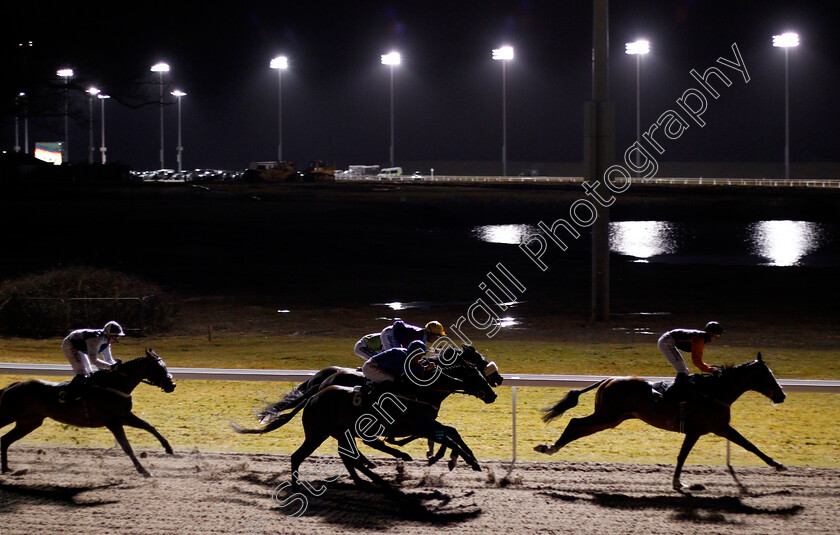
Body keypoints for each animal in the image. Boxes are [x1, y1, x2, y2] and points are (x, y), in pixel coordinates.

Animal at [0, 352, 176, 478]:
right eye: (159, 368)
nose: (172, 385)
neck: (114, 385)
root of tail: (13, 385)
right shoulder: (113, 422)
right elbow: (127, 447)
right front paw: (144, 471)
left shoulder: (124, 416)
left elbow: (149, 426)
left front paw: (168, 448)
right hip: (9, 414)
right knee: (4, 436)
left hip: (29, 422)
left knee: (5, 439)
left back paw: (6, 468)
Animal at [235, 346, 498, 488]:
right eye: (473, 371)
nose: (493, 391)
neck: (421, 390)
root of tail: (316, 392)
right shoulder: (418, 425)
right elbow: (448, 436)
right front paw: (460, 460)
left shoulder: (426, 424)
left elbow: (451, 432)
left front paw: (463, 459)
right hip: (320, 433)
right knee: (312, 455)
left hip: (338, 431)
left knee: (348, 453)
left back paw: (369, 474)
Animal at [540, 354, 788, 492]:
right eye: (767, 375)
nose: (782, 395)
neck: (715, 392)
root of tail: (608, 379)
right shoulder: (696, 431)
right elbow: (682, 456)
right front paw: (679, 483)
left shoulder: (720, 428)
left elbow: (749, 445)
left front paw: (777, 464)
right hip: (607, 417)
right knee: (575, 423)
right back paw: (549, 447)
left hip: (610, 418)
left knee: (578, 427)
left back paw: (550, 447)